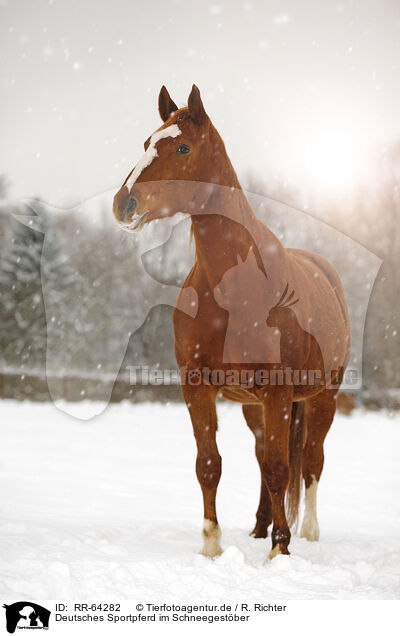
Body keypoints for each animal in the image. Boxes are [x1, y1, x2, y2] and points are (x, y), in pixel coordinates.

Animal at [113, 85, 350, 560]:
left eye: (183, 147)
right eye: (147, 142)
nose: (123, 203)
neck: (233, 288)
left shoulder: (278, 392)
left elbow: (281, 467)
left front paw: (281, 550)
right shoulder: (198, 386)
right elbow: (210, 464)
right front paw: (212, 546)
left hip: (323, 398)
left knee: (311, 460)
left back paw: (307, 531)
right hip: (254, 407)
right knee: (264, 459)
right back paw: (260, 526)